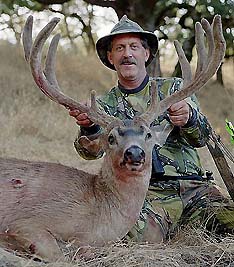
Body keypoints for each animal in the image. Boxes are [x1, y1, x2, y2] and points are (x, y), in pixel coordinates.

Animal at [0, 14, 227, 262]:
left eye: (148, 134)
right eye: (110, 138)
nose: (134, 152)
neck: (100, 216)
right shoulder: (27, 222)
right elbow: (60, 254)